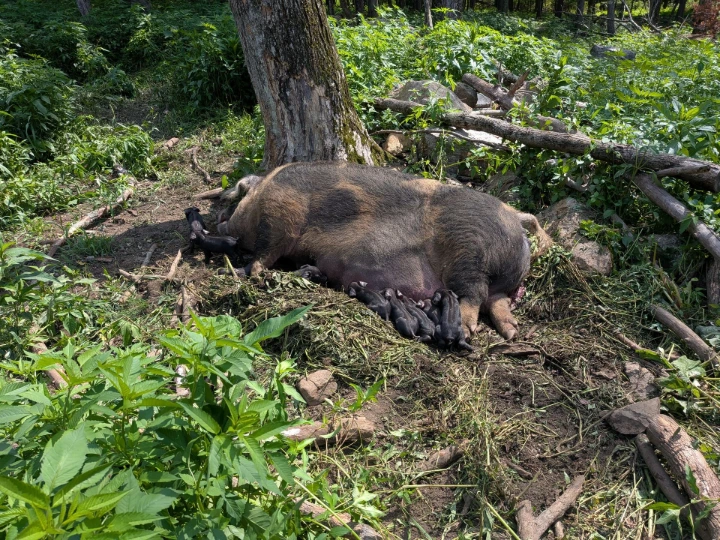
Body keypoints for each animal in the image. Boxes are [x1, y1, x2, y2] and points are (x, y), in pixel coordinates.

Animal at [218, 162, 551, 340]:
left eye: (238, 198)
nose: (223, 223)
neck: (262, 192)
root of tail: (514, 218)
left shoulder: (279, 216)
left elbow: (264, 254)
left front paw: (250, 273)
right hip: (494, 277)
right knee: (497, 301)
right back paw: (512, 332)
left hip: (468, 251)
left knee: (473, 295)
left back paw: (469, 331)